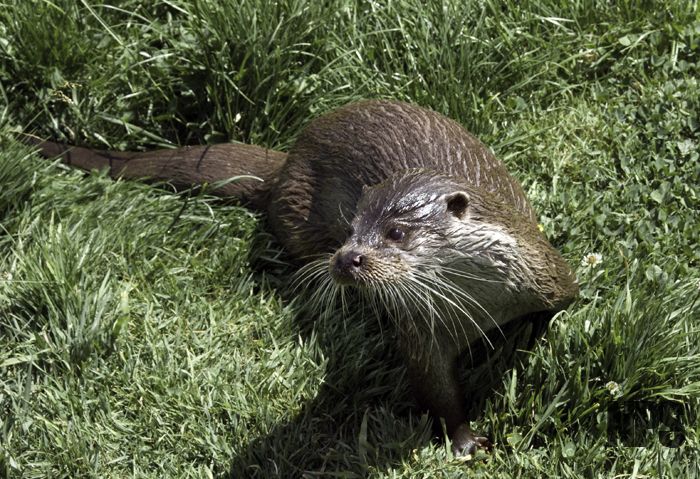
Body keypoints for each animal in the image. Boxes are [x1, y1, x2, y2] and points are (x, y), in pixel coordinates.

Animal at [26, 99, 576, 456]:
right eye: (352, 228)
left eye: (396, 232)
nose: (346, 259)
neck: (484, 304)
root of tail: (289, 158)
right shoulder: (422, 330)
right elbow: (436, 390)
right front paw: (465, 440)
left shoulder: (550, 274)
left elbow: (560, 310)